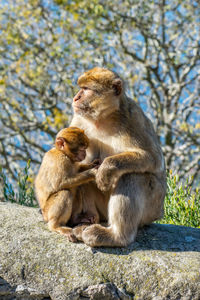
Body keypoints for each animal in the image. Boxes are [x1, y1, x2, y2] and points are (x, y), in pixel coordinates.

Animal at [69, 67, 166, 246]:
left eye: (86, 89)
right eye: (81, 88)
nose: (76, 97)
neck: (102, 118)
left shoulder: (134, 118)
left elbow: (154, 159)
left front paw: (106, 169)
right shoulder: (78, 120)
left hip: (153, 207)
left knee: (131, 176)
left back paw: (116, 236)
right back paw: (86, 222)